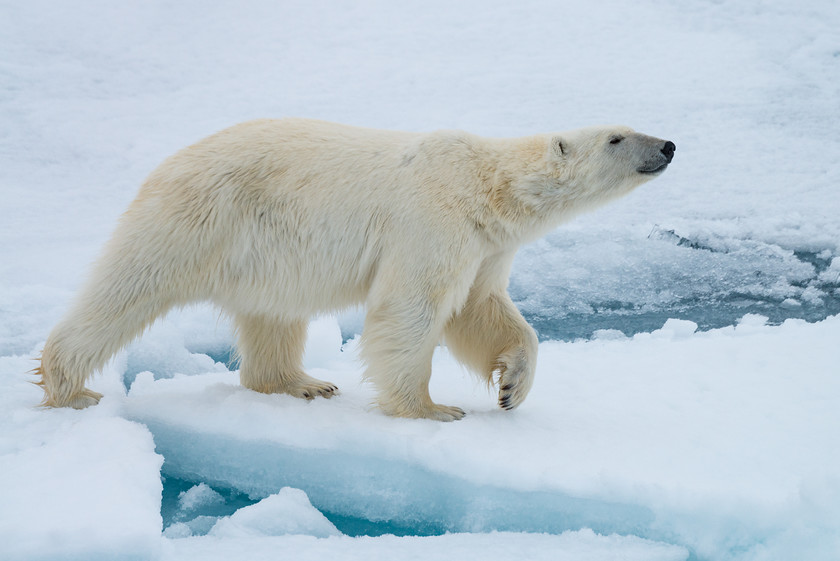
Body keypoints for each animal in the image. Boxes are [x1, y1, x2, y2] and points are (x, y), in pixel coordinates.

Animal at [34, 118, 676, 418]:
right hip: (197, 219)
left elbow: (482, 309)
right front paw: (431, 408)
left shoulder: (487, 244)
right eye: (617, 137)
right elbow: (413, 307)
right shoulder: (432, 217)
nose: (668, 145)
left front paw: (512, 387)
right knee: (127, 288)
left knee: (274, 315)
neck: (486, 184)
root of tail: (164, 166)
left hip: (265, 248)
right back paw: (70, 387)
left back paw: (300, 382)